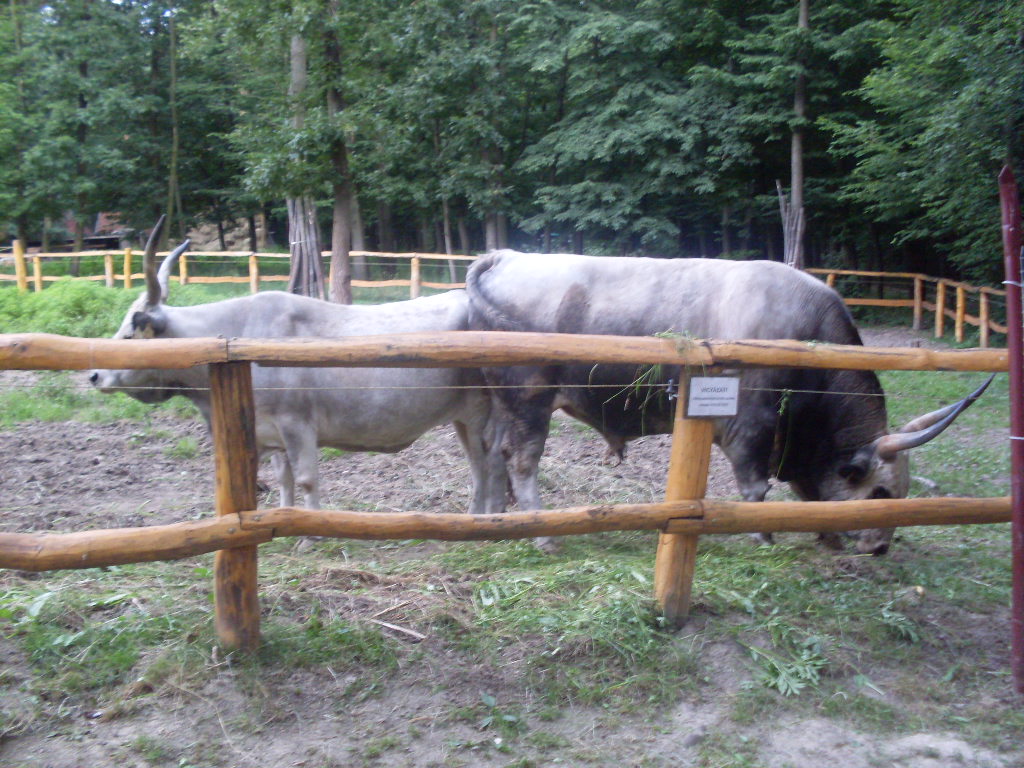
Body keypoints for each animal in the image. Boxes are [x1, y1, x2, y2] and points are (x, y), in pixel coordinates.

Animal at [90, 220, 505, 515]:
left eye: (129, 333)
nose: (94, 374)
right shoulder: (270, 431)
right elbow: (284, 479)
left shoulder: (297, 424)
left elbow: (306, 479)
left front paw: (312, 532)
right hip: (462, 417)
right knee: (480, 466)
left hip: (481, 413)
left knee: (487, 463)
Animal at [466, 250, 991, 554]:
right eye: (880, 493)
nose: (881, 547)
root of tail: (505, 256)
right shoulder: (751, 427)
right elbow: (756, 489)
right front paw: (763, 535)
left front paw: (826, 531)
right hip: (530, 401)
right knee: (521, 460)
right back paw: (542, 534)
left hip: (500, 403)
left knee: (491, 454)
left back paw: (495, 519)